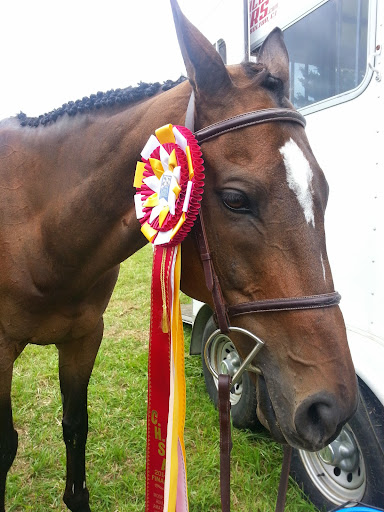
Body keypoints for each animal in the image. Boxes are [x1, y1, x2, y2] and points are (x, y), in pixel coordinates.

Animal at [0, 1, 360, 512]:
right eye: (234, 199)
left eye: (324, 192)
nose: (330, 407)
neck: (42, 231)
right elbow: (6, 445)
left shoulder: (83, 338)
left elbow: (75, 427)